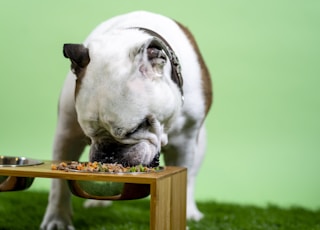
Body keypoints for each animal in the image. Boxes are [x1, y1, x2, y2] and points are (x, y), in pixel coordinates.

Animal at [40, 11, 212, 230]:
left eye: (136, 128)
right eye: (89, 135)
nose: (108, 153)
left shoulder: (184, 143)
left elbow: (184, 179)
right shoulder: (67, 134)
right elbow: (58, 185)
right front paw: (57, 219)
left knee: (191, 177)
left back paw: (191, 212)